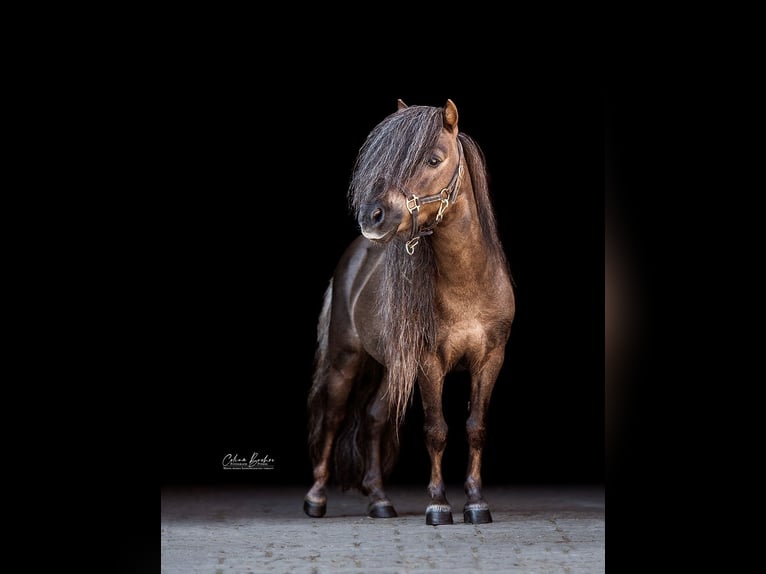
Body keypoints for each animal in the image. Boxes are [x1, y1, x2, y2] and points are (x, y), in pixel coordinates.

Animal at [304, 99, 516, 528]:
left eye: (434, 159)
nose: (372, 216)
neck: (469, 284)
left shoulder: (490, 359)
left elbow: (475, 427)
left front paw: (476, 503)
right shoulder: (429, 361)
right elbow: (436, 429)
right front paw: (438, 505)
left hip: (392, 367)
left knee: (373, 417)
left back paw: (380, 500)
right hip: (345, 359)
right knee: (334, 417)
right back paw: (316, 499)